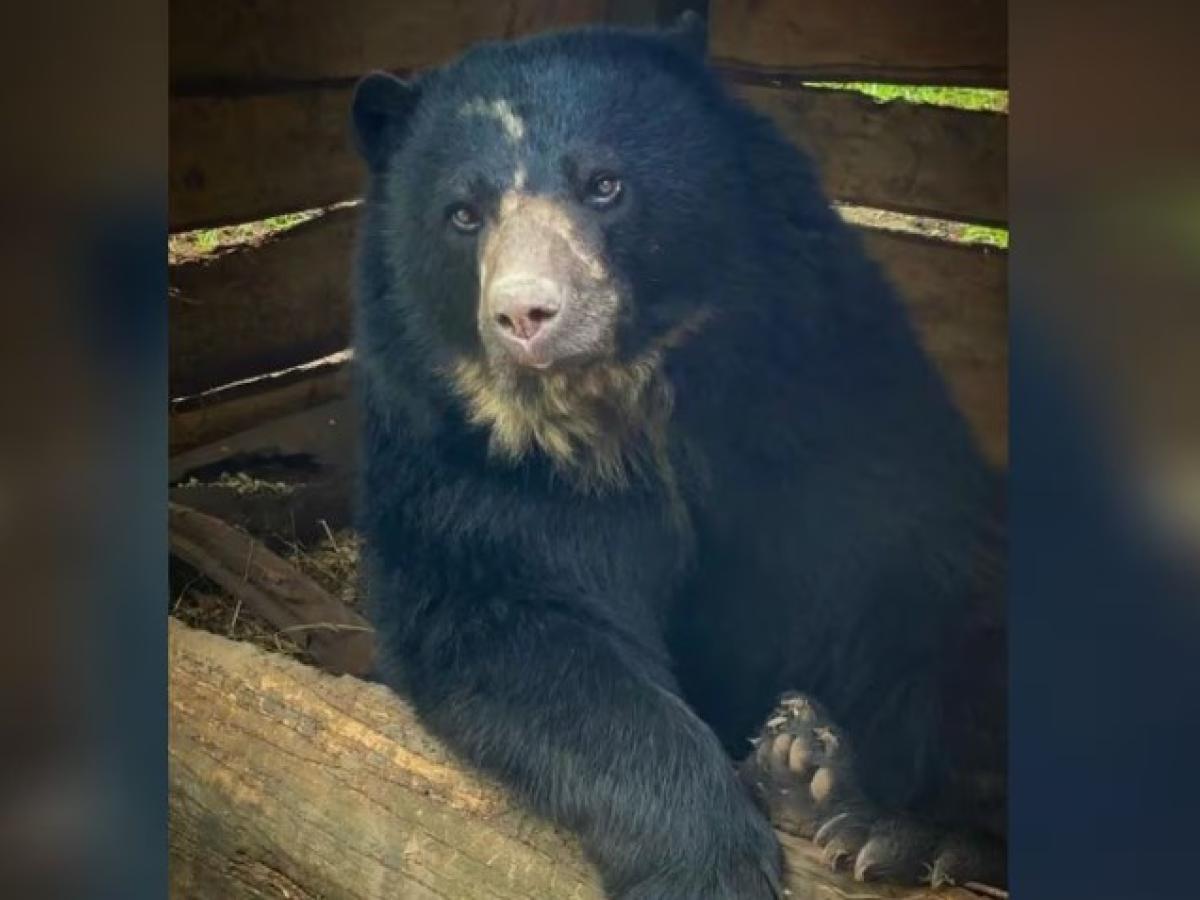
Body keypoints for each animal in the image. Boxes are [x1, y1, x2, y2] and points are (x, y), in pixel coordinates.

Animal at [350, 14, 1006, 899]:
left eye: (604, 185)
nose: (527, 316)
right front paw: (709, 860)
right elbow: (517, 629)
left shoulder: (823, 396)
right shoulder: (467, 467)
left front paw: (899, 827)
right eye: (463, 213)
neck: (625, 410)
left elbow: (915, 586)